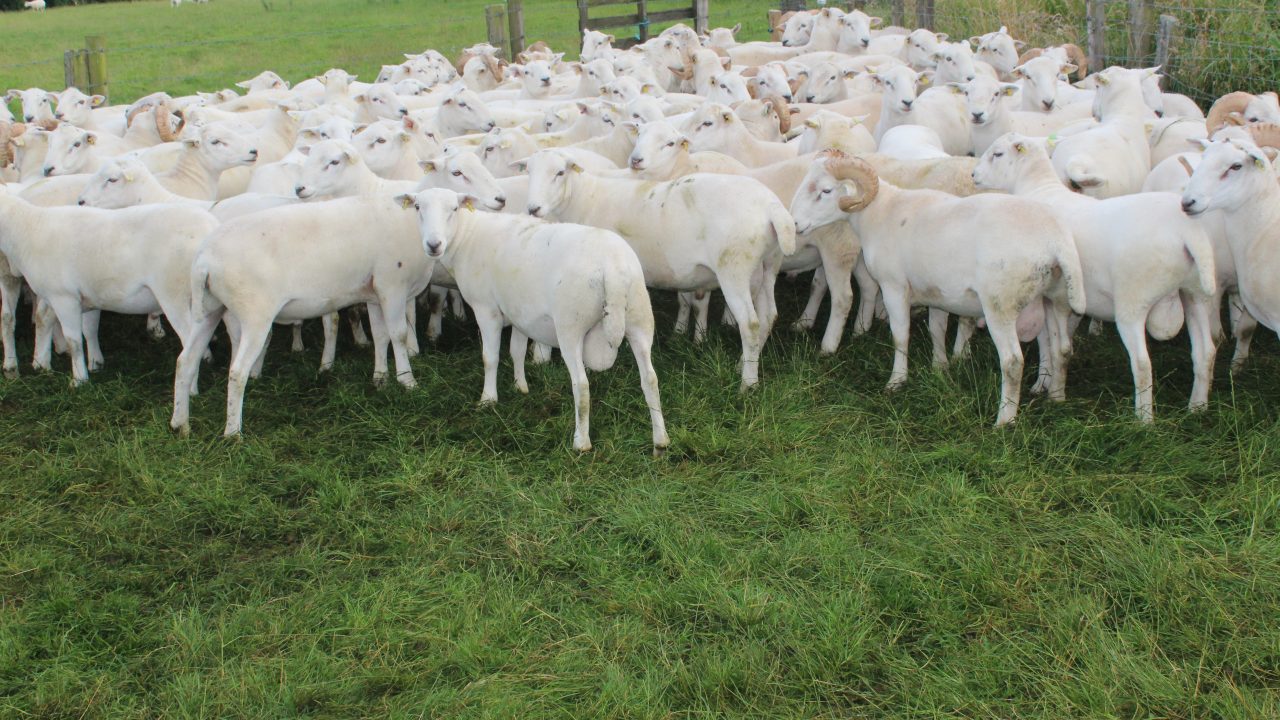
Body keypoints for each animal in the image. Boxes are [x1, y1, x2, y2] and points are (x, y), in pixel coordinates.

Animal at [403, 188, 668, 454]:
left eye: (454, 209)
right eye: (417, 207)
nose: (433, 245)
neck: (468, 236)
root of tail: (613, 267)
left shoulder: (486, 309)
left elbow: (490, 358)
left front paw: (488, 400)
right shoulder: (521, 314)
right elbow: (517, 351)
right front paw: (521, 387)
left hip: (571, 326)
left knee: (581, 385)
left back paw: (581, 443)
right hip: (640, 319)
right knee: (650, 379)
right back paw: (661, 441)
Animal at [524, 149, 796, 389]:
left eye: (560, 172)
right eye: (528, 171)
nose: (532, 209)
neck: (584, 199)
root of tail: (772, 207)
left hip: (735, 268)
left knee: (750, 324)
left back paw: (748, 383)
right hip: (768, 265)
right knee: (768, 315)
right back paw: (745, 363)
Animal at [789, 150, 1085, 425]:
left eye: (826, 190)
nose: (793, 223)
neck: (880, 213)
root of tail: (1055, 241)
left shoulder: (894, 286)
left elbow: (900, 335)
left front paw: (897, 381)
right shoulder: (937, 292)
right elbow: (937, 329)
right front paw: (939, 368)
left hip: (999, 304)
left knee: (1012, 361)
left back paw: (1005, 419)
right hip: (1055, 299)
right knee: (1060, 348)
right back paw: (1054, 395)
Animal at [973, 133, 1218, 421]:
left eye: (997, 154)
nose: (973, 174)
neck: (1039, 189)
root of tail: (1187, 233)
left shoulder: (1043, 295)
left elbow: (1046, 342)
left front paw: (1042, 382)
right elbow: (1057, 342)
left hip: (1133, 303)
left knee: (1142, 364)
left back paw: (1144, 420)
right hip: (1195, 293)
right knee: (1206, 352)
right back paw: (1198, 407)